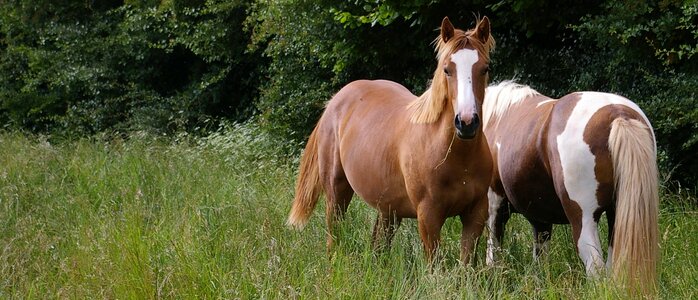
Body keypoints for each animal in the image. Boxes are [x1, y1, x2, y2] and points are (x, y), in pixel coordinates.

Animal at [286, 17, 494, 264]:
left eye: (484, 68)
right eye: (447, 69)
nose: (466, 122)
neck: (455, 156)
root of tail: (335, 102)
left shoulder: (476, 213)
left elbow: (465, 264)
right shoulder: (428, 216)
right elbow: (434, 265)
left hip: (388, 209)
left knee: (378, 245)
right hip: (336, 193)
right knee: (333, 237)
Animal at [482, 81, 656, 294]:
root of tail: (618, 113)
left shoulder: (495, 205)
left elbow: (493, 251)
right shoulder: (541, 219)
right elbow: (540, 260)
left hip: (583, 219)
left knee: (595, 267)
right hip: (619, 217)